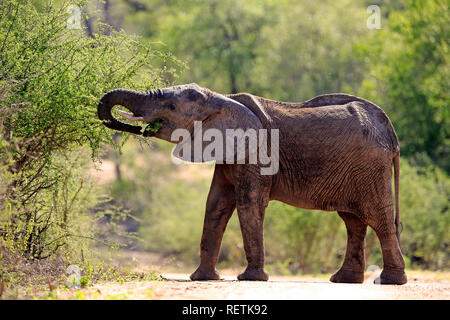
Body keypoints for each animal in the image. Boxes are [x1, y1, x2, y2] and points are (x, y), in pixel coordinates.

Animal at [97, 83, 408, 284]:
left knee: (378, 219)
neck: (222, 98)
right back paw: (343, 280)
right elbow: (216, 204)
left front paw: (251, 279)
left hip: (371, 169)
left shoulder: (257, 152)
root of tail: (390, 131)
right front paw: (203, 279)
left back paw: (391, 282)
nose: (135, 127)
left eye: (171, 106)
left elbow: (248, 203)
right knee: (353, 221)